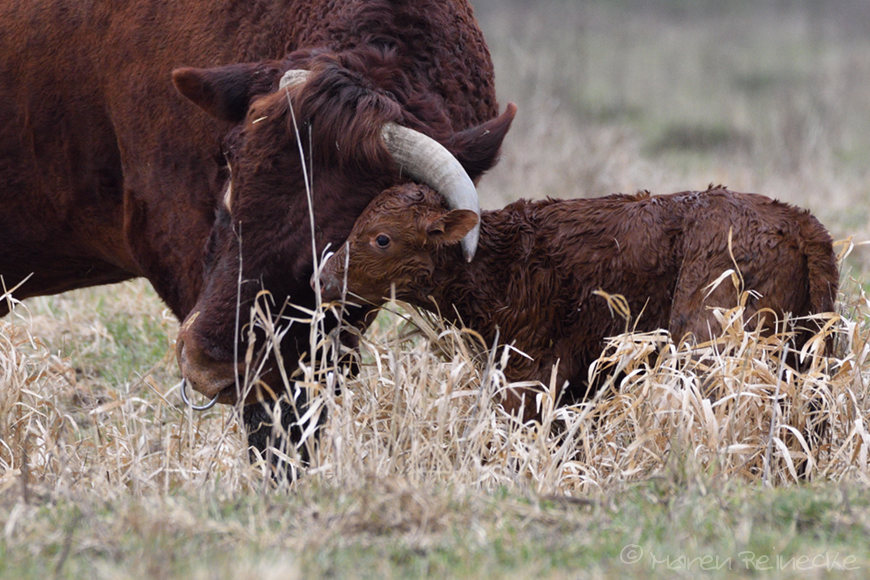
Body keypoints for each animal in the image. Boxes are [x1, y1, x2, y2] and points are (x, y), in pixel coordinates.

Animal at [318, 185, 836, 416]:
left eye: (381, 238)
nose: (322, 277)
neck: (503, 263)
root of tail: (799, 223)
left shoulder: (528, 377)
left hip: (710, 347)